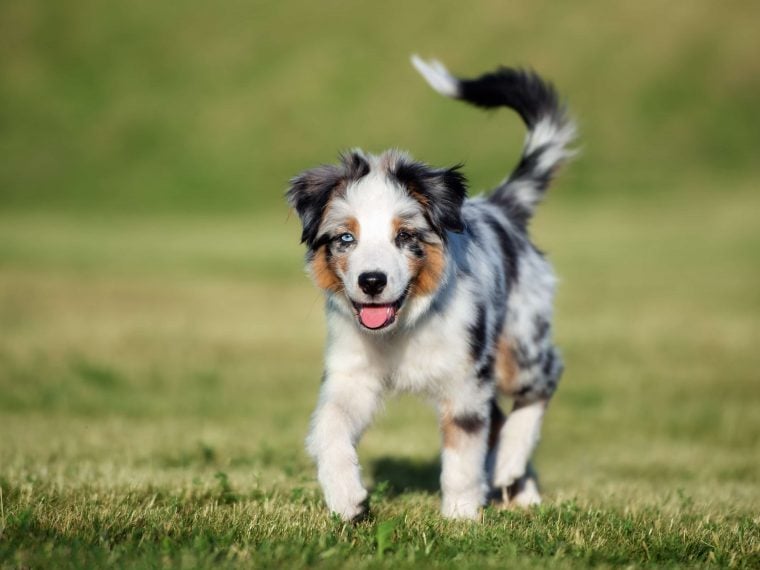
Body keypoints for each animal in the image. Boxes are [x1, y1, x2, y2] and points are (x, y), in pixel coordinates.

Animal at [286, 57, 576, 520]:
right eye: (346, 238)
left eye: (405, 236)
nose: (372, 281)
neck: (402, 328)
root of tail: (501, 206)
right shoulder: (351, 375)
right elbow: (329, 427)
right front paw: (346, 497)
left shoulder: (464, 381)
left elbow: (463, 455)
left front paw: (461, 517)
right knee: (500, 416)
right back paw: (520, 489)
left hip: (518, 343)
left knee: (545, 379)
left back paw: (509, 463)